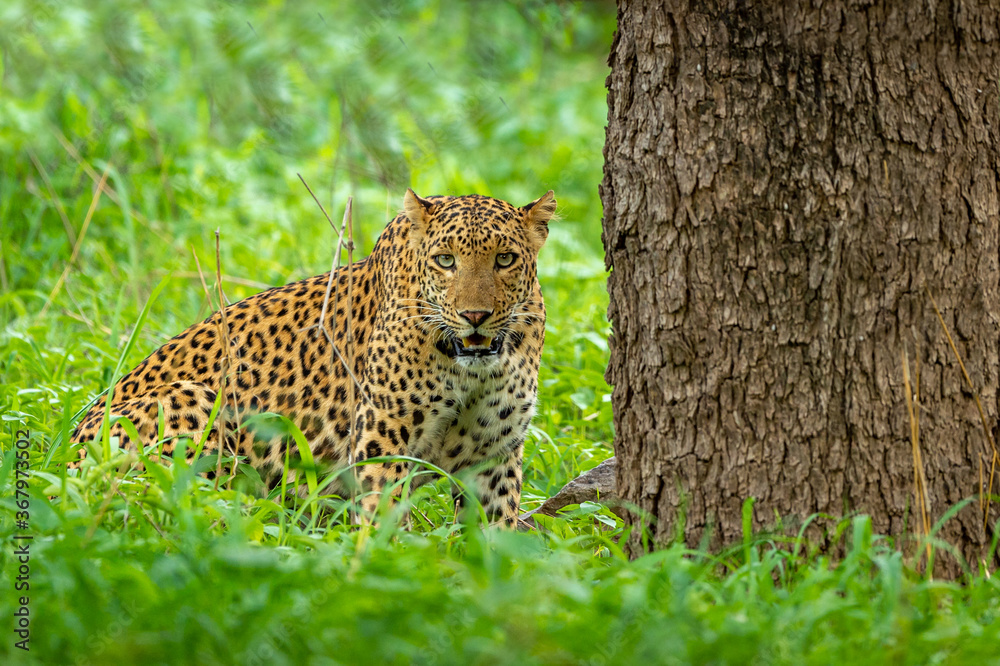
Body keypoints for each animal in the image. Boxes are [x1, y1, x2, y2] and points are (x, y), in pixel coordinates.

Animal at [70, 188, 556, 526]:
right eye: (445, 260)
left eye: (505, 259)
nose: (475, 316)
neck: (471, 371)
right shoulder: (382, 440)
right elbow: (381, 523)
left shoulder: (496, 456)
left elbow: (496, 539)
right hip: (191, 400)